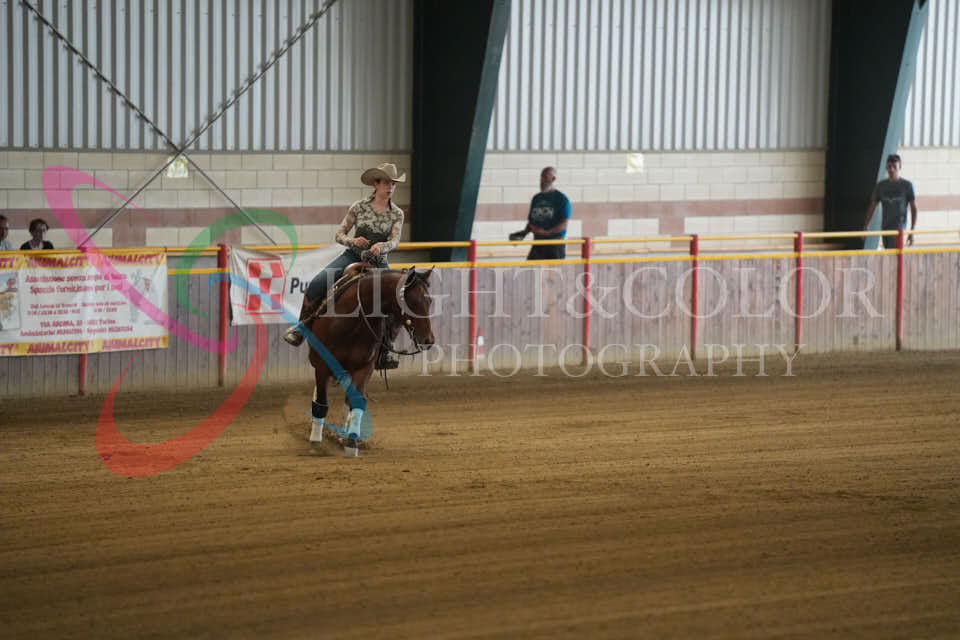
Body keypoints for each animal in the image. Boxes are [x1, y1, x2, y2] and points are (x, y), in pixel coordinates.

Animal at [303, 265, 436, 452]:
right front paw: (315, 442)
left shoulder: (364, 367)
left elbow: (356, 401)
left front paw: (351, 442)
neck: (352, 321)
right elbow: (321, 402)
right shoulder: (323, 364)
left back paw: (342, 434)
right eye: (412, 302)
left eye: (429, 301)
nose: (428, 340)